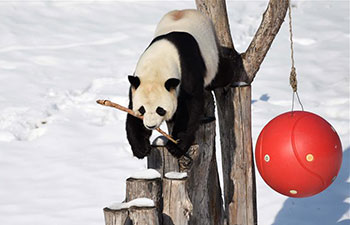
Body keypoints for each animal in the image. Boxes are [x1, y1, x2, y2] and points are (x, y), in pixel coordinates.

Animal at [127, 9, 226, 159]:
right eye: (142, 109)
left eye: (160, 109)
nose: (150, 126)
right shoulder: (136, 84)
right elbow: (132, 112)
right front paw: (141, 148)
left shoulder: (187, 70)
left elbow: (191, 107)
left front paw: (176, 146)